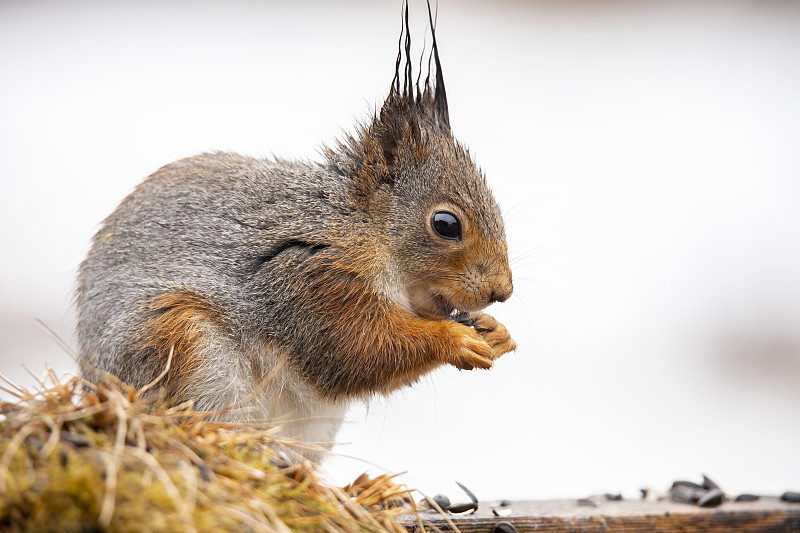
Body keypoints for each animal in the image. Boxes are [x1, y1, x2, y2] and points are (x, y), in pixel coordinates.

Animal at [76, 2, 520, 460]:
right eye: (445, 224)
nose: (502, 291)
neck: (361, 225)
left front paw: (497, 332)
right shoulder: (311, 278)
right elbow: (354, 348)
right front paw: (454, 339)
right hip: (175, 337)